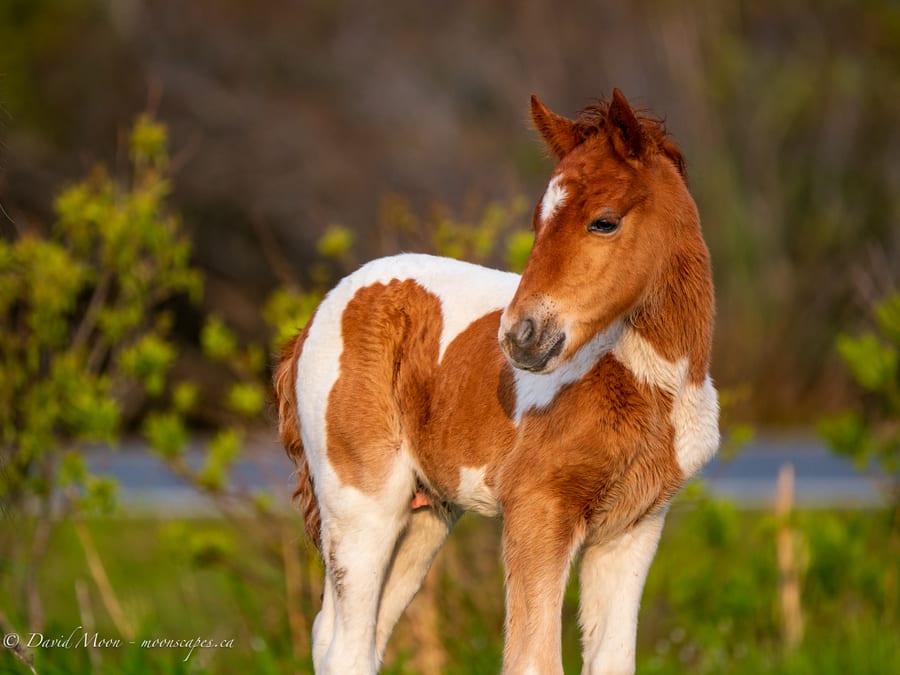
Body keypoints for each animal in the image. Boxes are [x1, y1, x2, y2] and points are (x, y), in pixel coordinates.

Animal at [274, 89, 718, 675]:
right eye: (537, 221)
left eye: (604, 221)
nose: (520, 337)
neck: (648, 385)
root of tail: (314, 319)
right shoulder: (536, 509)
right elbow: (532, 661)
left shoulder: (634, 527)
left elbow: (611, 661)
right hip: (361, 499)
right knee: (345, 644)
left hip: (425, 515)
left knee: (348, 635)